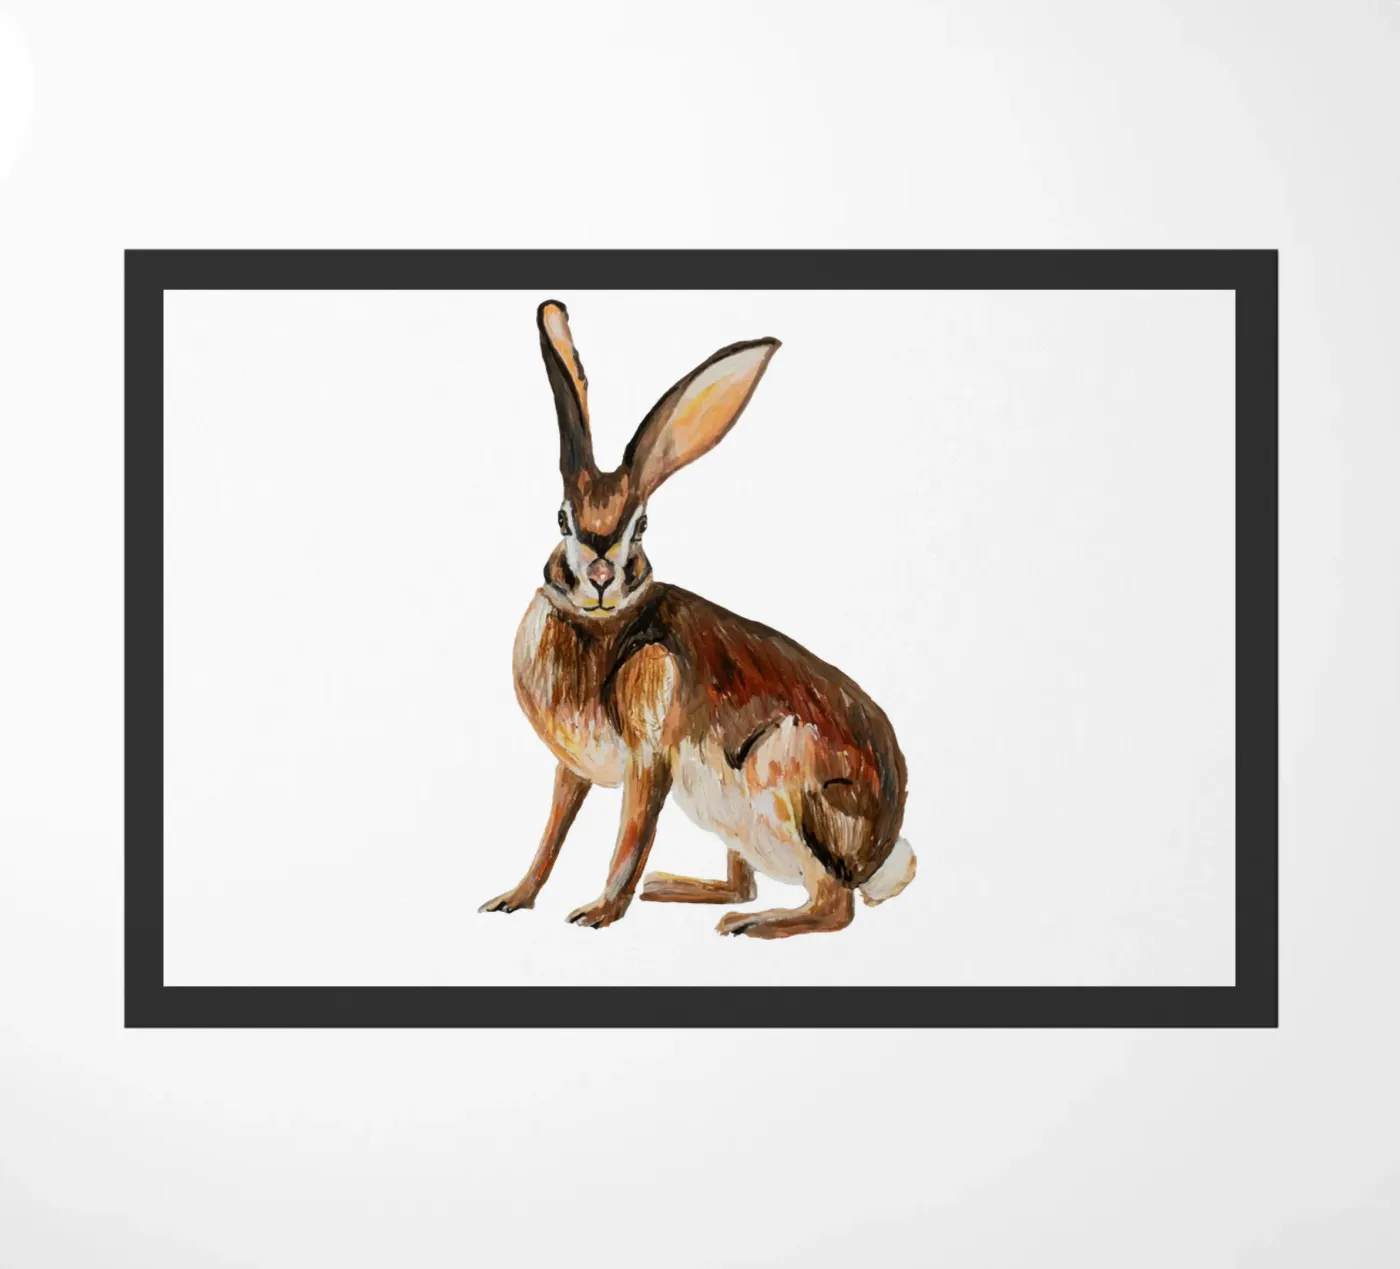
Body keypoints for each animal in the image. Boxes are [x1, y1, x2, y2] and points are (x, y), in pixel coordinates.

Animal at [479, 301, 915, 938]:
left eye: (641, 526)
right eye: (562, 519)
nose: (601, 576)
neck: (601, 625)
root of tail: (879, 854)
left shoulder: (649, 758)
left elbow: (631, 838)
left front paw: (598, 913)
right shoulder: (571, 769)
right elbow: (552, 834)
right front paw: (513, 898)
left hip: (781, 777)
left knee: (833, 904)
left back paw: (751, 924)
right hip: (728, 816)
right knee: (747, 880)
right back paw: (675, 888)